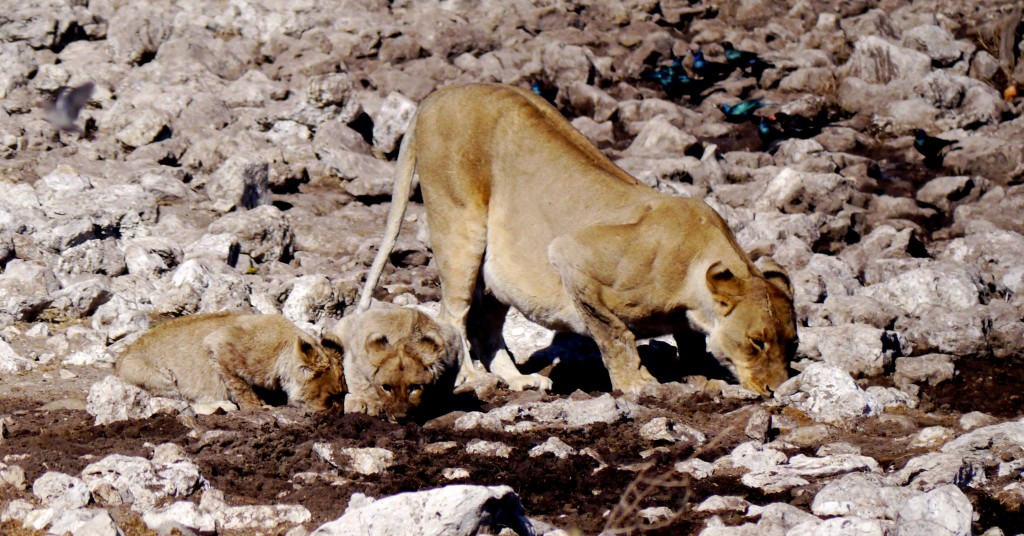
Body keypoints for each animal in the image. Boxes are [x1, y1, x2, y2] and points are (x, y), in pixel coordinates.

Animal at [356, 83, 794, 393]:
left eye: (790, 343)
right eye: (756, 342)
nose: (777, 390)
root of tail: (433, 96)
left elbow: (690, 343)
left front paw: (701, 376)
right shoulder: (572, 255)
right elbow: (614, 334)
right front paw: (638, 385)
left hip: (497, 271)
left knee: (483, 324)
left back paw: (518, 380)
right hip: (459, 224)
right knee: (453, 315)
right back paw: (474, 379)